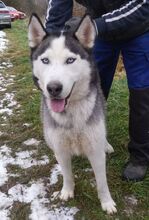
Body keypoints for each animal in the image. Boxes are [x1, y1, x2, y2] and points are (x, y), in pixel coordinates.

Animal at [27, 13, 116, 213]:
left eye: (70, 60)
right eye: (45, 60)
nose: (53, 88)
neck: (71, 116)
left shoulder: (95, 151)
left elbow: (102, 182)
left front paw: (107, 203)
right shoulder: (61, 149)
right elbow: (67, 175)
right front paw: (67, 192)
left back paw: (107, 145)